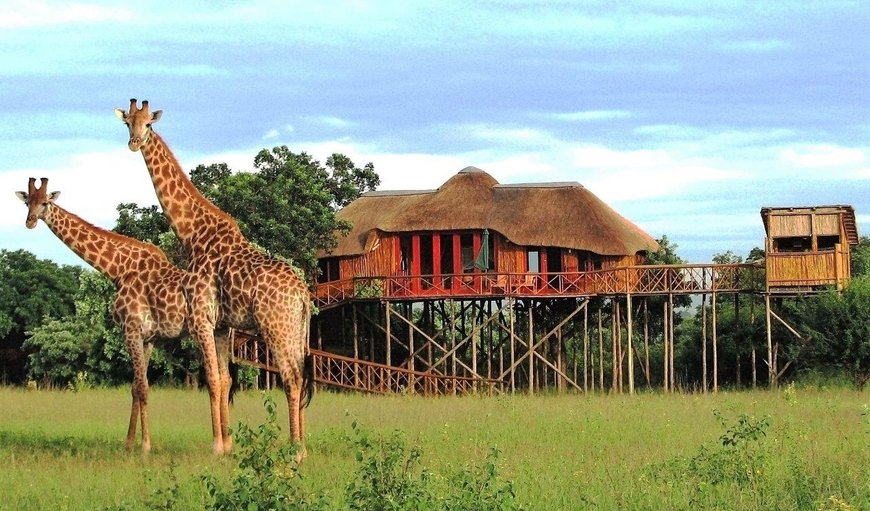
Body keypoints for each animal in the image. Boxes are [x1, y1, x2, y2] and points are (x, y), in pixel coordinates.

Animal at [15, 178, 189, 454]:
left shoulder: (132, 329)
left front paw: (146, 446)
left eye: (45, 203)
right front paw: (128, 443)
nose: (30, 222)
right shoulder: (148, 337)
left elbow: (143, 387)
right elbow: (135, 387)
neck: (118, 269)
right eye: (26, 202)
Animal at [116, 99, 314, 456]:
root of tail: (304, 294)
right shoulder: (222, 325)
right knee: (300, 377)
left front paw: (217, 447)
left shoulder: (201, 317)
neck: (193, 234)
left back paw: (295, 450)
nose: (134, 143)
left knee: (291, 378)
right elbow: (223, 379)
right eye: (128, 123)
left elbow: (211, 378)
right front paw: (228, 445)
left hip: (275, 328)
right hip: (295, 329)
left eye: (148, 124)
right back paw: (301, 446)